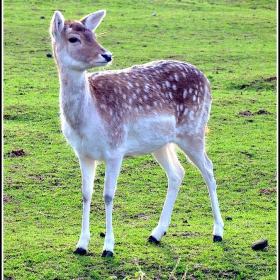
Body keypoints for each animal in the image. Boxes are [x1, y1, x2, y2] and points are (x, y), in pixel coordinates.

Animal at [50, 9, 224, 258]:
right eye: (74, 38)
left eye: (93, 34)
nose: (107, 55)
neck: (88, 121)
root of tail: (206, 80)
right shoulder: (83, 153)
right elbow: (86, 194)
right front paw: (81, 245)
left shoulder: (115, 149)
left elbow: (108, 195)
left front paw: (108, 247)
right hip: (161, 143)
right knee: (177, 172)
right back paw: (156, 233)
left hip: (194, 130)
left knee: (208, 169)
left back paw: (218, 232)